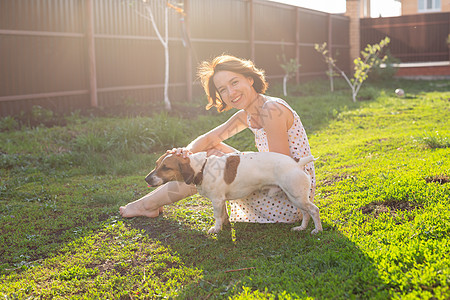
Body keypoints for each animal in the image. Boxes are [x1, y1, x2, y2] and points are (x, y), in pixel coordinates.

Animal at [146, 152, 322, 234]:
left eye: (166, 167)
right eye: (156, 164)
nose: (146, 179)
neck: (202, 167)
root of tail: (297, 162)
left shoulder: (217, 200)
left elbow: (217, 217)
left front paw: (216, 229)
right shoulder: (221, 201)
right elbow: (223, 215)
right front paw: (224, 226)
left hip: (297, 196)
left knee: (314, 210)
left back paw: (318, 230)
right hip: (294, 197)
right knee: (306, 213)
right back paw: (302, 228)